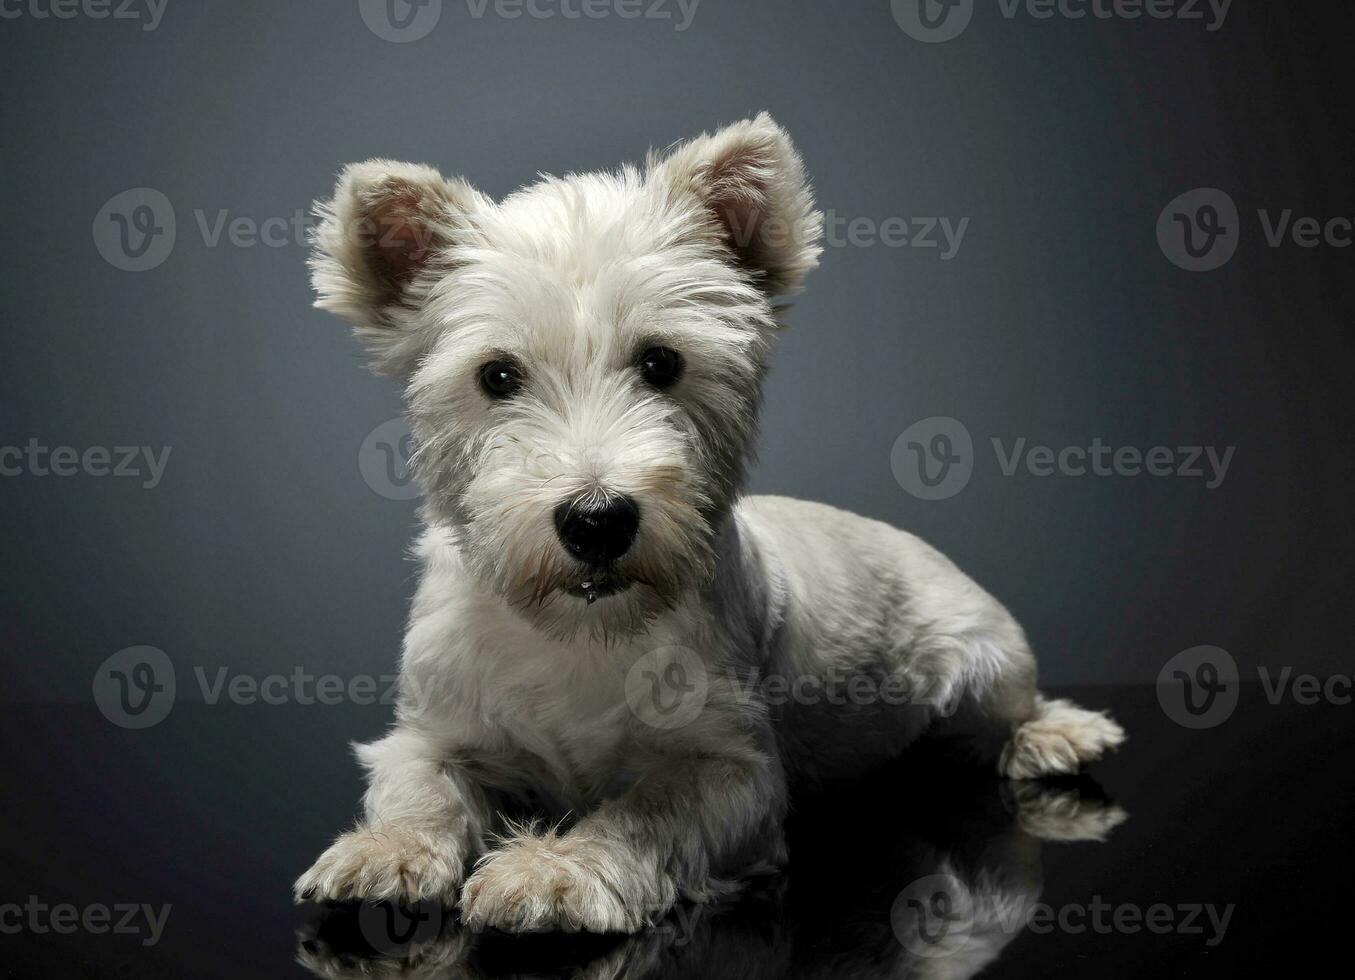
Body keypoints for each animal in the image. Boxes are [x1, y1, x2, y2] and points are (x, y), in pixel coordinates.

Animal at [294, 113, 1121, 937]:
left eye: (661, 363)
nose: (597, 521)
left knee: (1010, 709)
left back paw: (1056, 735)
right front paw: (385, 850)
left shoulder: (733, 769)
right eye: (496, 376)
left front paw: (558, 868)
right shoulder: (430, 731)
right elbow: (419, 788)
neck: (577, 634)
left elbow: (644, 808)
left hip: (983, 656)